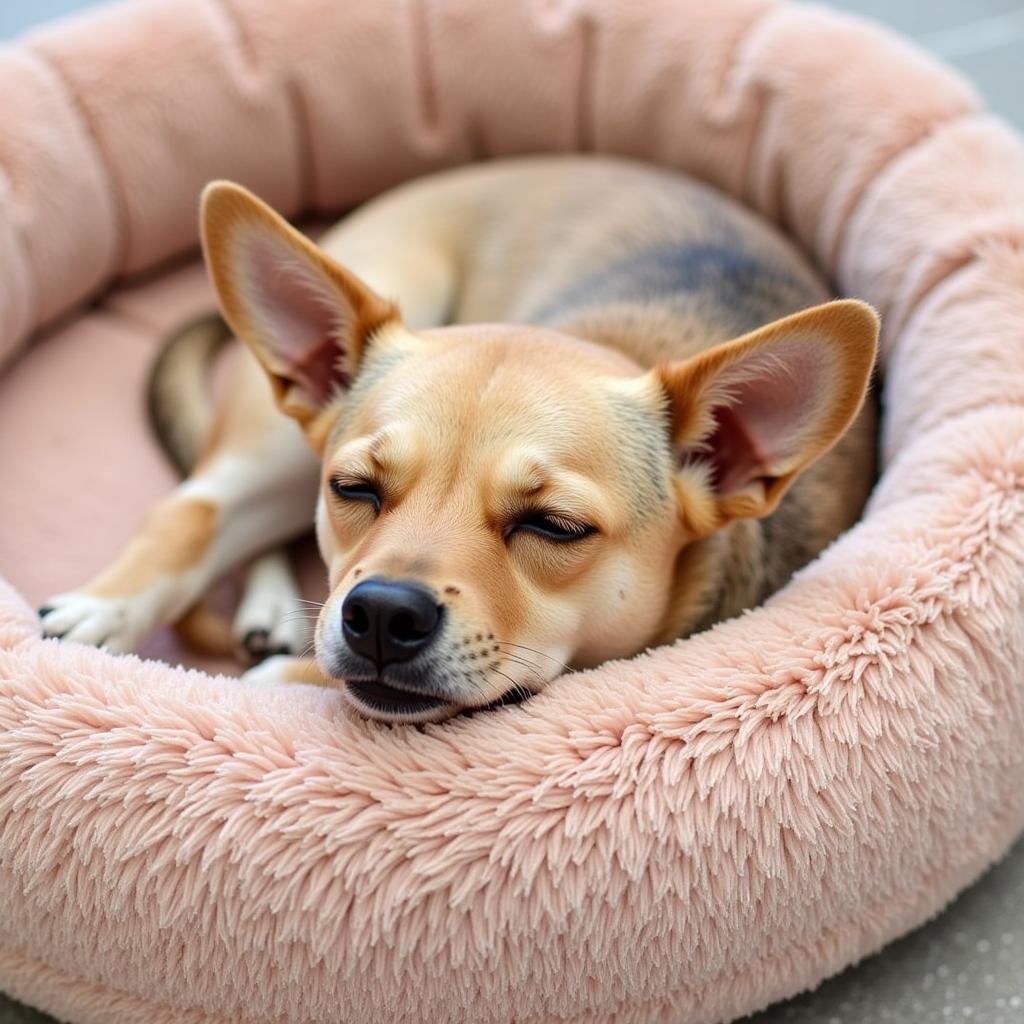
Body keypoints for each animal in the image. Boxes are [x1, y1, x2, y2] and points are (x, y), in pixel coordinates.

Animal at [36, 155, 876, 724]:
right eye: (352, 489)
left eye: (555, 526)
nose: (380, 614)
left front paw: (285, 668)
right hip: (284, 434)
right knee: (194, 507)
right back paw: (101, 611)